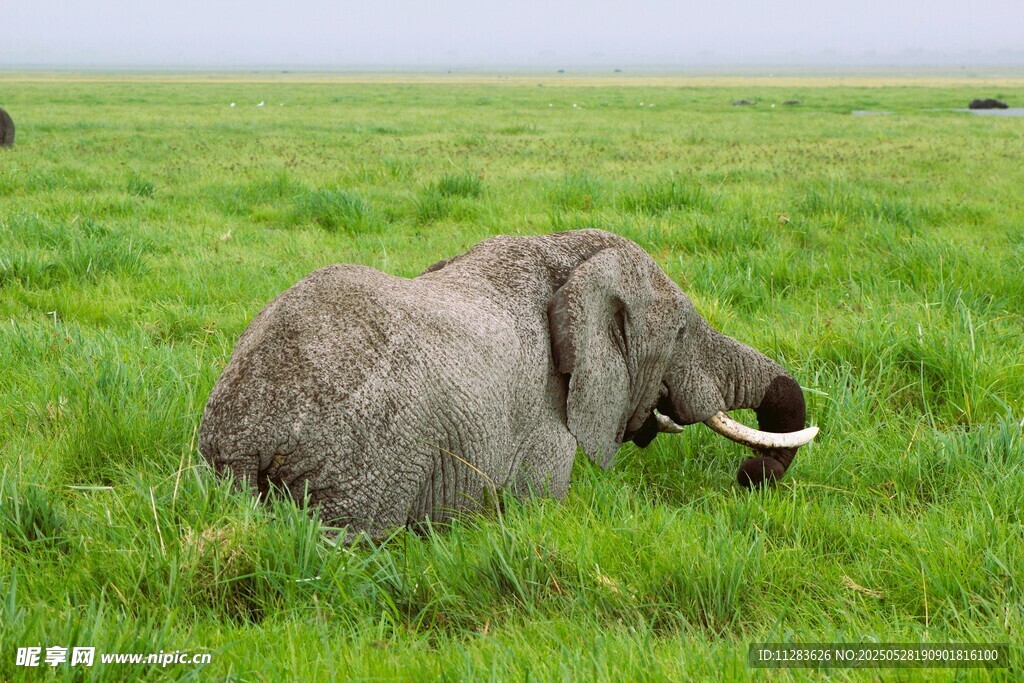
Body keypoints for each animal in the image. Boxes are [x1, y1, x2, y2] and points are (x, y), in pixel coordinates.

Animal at [199, 229, 817, 538]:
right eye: (684, 330)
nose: (750, 476)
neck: (564, 253)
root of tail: (239, 439)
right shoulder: (543, 416)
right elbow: (539, 504)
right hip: (362, 463)